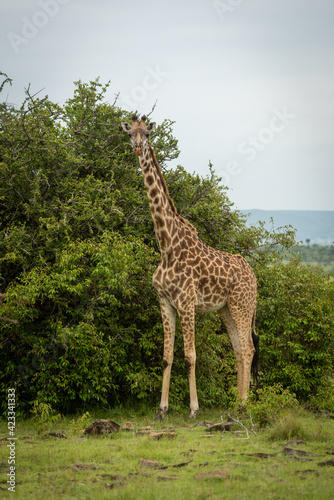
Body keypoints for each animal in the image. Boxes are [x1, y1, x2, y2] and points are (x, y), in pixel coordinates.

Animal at [120, 115, 258, 420]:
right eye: (130, 133)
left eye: (147, 134)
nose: (137, 147)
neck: (167, 246)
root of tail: (255, 277)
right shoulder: (164, 301)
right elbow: (167, 356)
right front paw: (162, 409)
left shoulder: (186, 302)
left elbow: (190, 355)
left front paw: (194, 408)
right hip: (226, 310)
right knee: (239, 350)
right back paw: (236, 402)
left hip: (243, 305)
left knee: (248, 347)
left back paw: (244, 405)